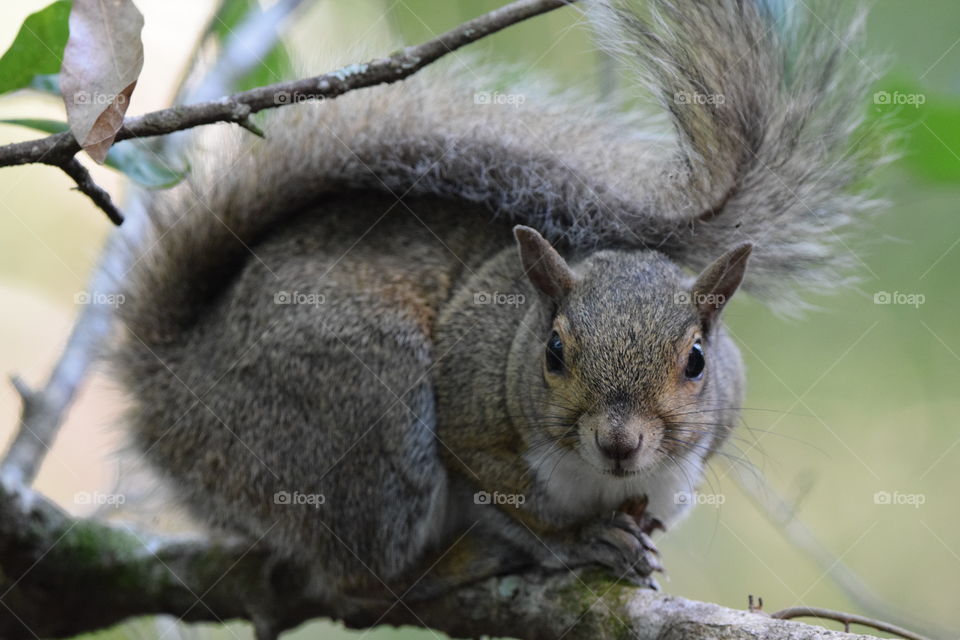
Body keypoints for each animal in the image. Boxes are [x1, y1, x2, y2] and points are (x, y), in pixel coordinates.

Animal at [110, 0, 876, 600]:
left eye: (697, 362)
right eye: (554, 351)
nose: (620, 443)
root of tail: (172, 390)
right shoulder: (468, 417)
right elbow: (506, 501)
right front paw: (573, 542)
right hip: (367, 401)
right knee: (362, 577)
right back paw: (457, 563)